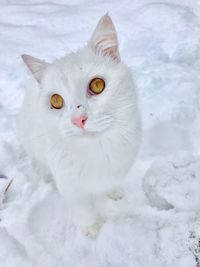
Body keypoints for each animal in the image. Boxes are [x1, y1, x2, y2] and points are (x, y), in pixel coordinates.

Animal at [18, 14, 141, 238]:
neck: (98, 149)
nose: (78, 119)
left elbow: (112, 182)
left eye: (97, 85)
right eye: (56, 101)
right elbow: (82, 208)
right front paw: (92, 229)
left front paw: (113, 192)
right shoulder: (70, 185)